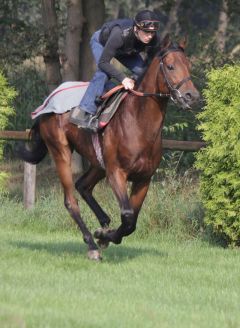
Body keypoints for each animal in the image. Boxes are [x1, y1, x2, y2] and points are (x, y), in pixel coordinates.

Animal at [17, 36, 200, 260]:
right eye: (171, 66)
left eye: (189, 65)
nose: (192, 95)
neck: (139, 123)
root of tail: (47, 102)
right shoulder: (116, 173)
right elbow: (128, 216)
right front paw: (102, 237)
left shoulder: (144, 179)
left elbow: (132, 221)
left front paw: (105, 235)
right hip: (61, 151)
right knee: (71, 200)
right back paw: (91, 245)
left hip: (97, 163)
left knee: (83, 186)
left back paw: (103, 224)